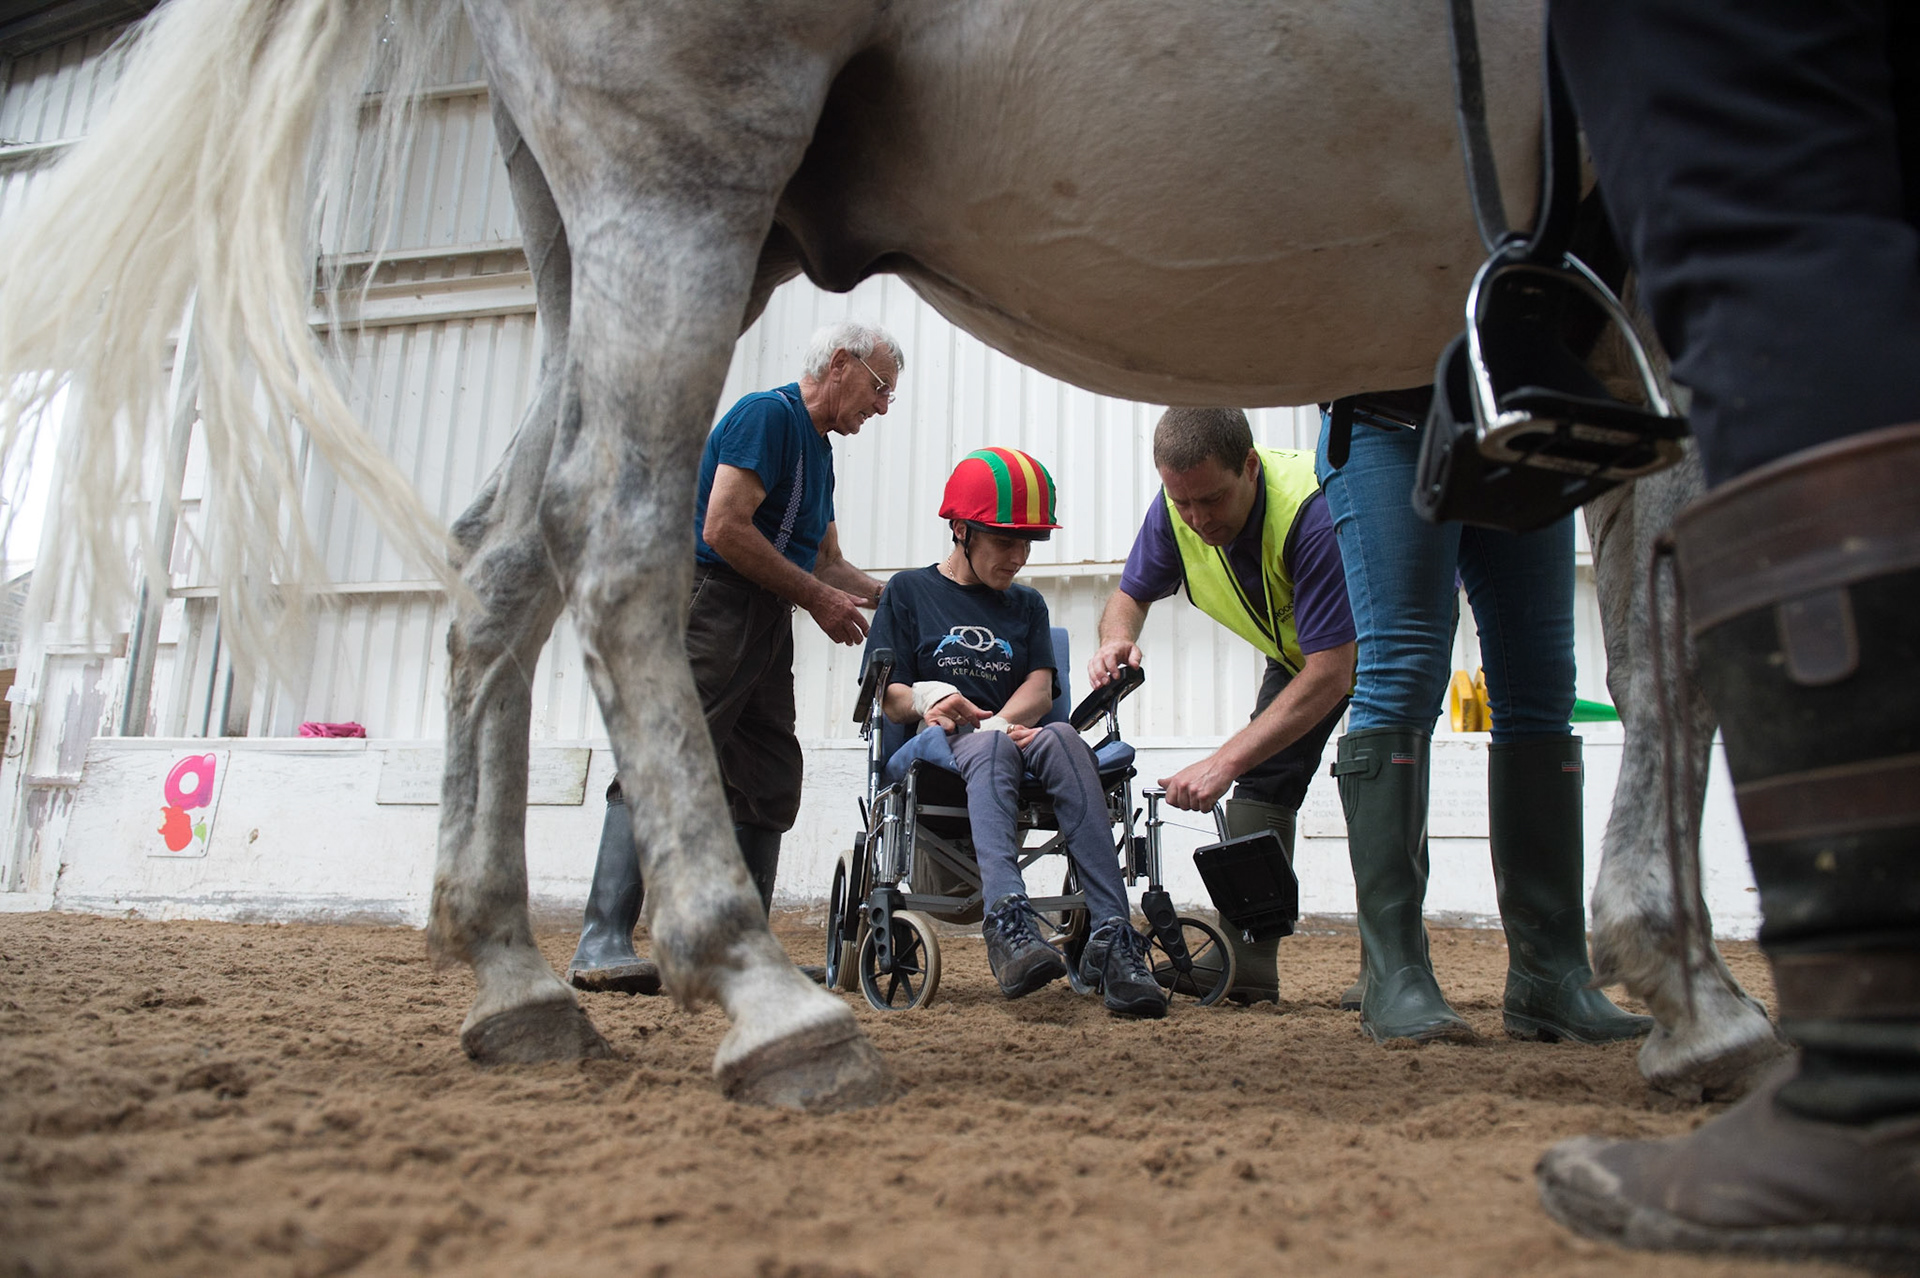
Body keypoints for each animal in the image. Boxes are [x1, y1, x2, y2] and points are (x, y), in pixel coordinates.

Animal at [0, 0, 1775, 1109]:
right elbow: (1692, 636)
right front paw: (1705, 1002)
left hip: (602, 225)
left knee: (501, 553)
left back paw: (517, 982)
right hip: (680, 178)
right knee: (617, 535)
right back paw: (770, 999)